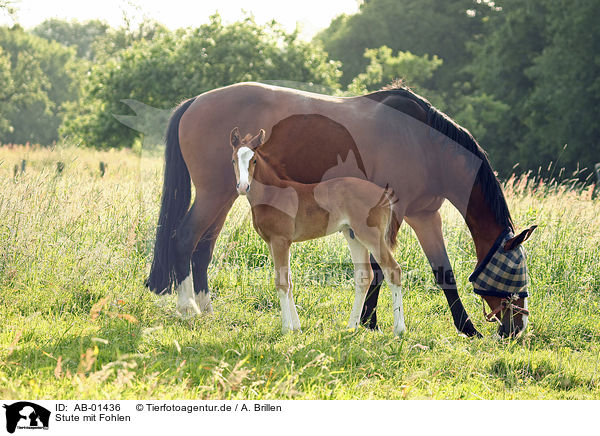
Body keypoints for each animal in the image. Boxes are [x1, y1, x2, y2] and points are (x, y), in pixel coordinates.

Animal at [230, 127, 408, 336]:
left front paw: (286, 328)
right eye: (233, 160)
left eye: (254, 160)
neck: (272, 195)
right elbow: (289, 281)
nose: (243, 187)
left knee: (393, 270)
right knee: (365, 276)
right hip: (353, 236)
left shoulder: (280, 241)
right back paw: (351, 327)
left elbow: (282, 283)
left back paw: (399, 329)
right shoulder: (271, 243)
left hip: (371, 236)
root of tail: (384, 194)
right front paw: (296, 327)